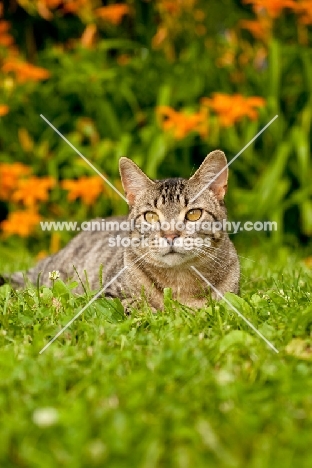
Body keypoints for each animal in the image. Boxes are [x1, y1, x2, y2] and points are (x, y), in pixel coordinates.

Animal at [2, 151, 239, 310]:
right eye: (151, 216)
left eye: (193, 214)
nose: (170, 235)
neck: (180, 282)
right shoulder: (104, 295)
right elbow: (134, 305)